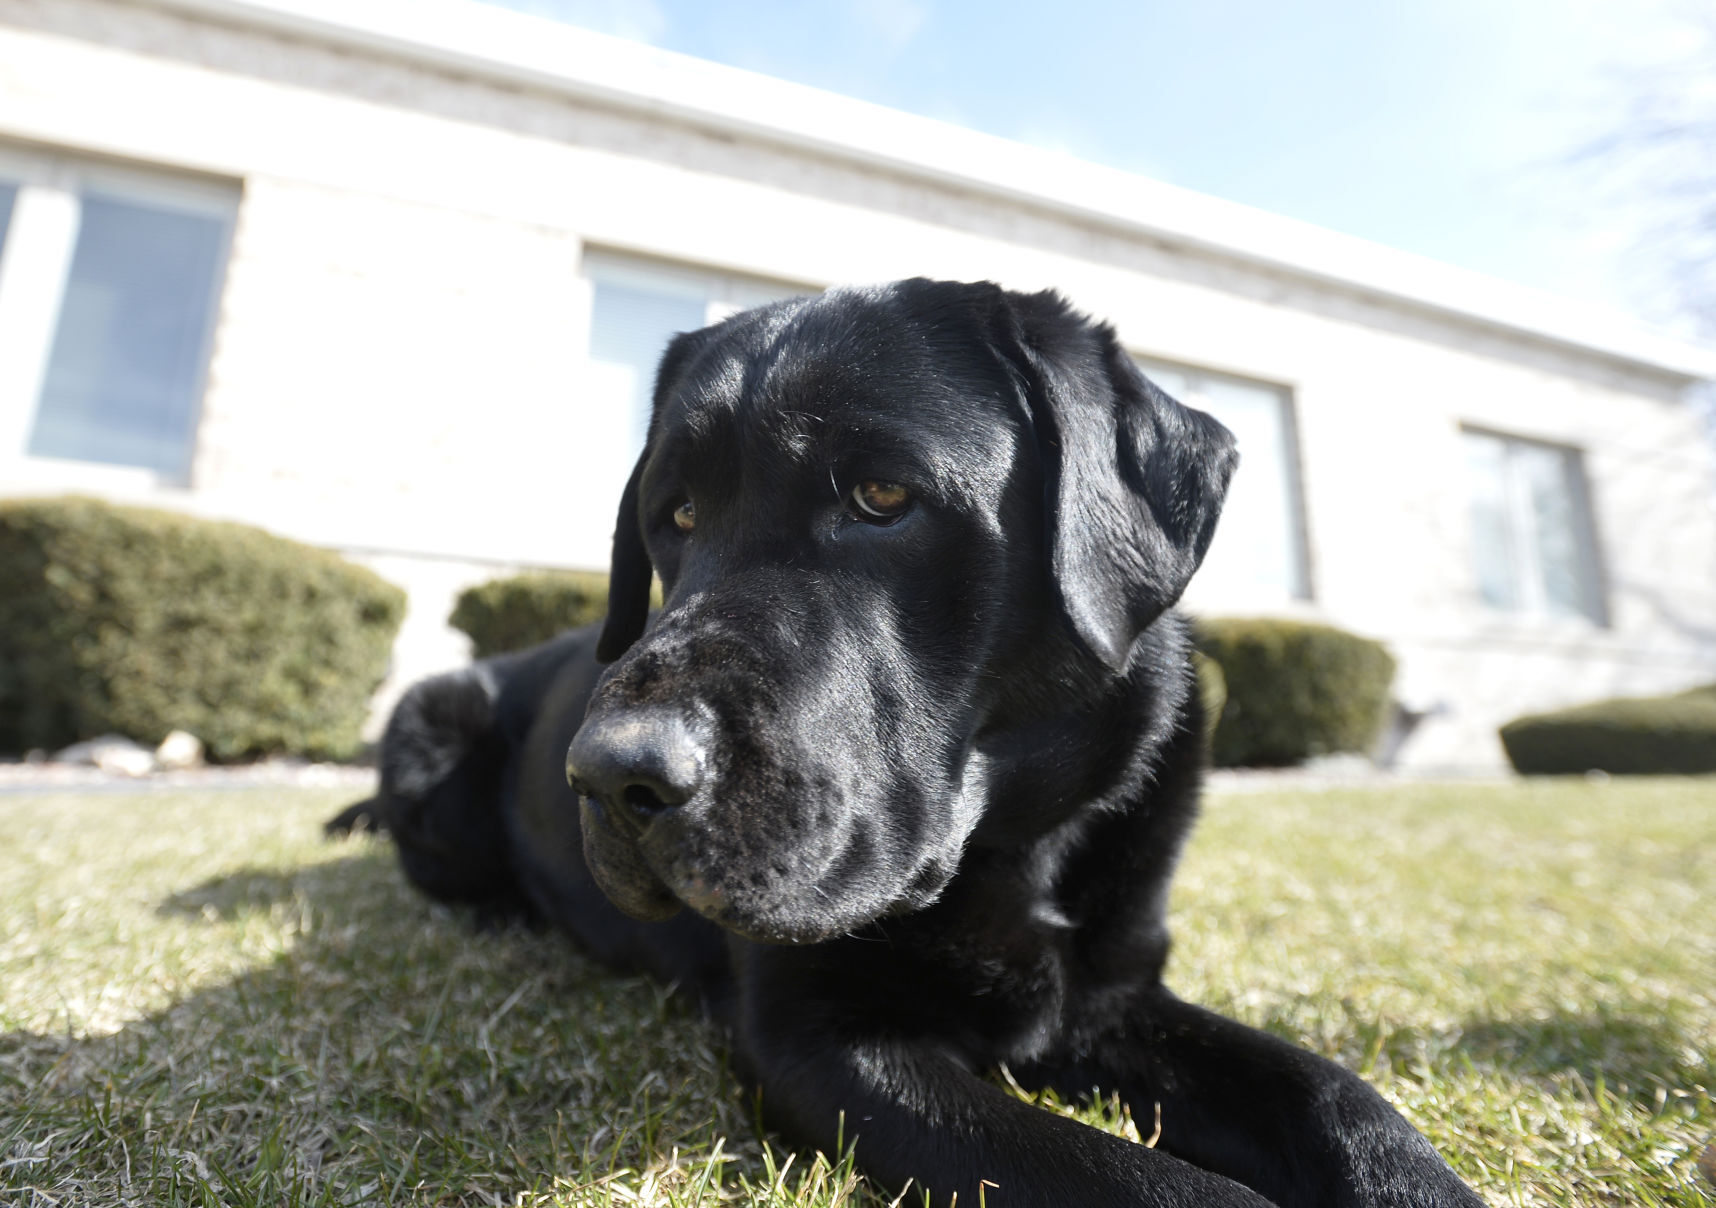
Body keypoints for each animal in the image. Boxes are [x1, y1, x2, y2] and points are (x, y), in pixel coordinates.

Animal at [331, 277, 1475, 1201]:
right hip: (436, 719)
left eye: (882, 496)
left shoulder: (1113, 996)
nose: (614, 776)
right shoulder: (821, 1040)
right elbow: (1155, 1184)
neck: (1015, 843)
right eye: (677, 515)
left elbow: (1336, 1094)